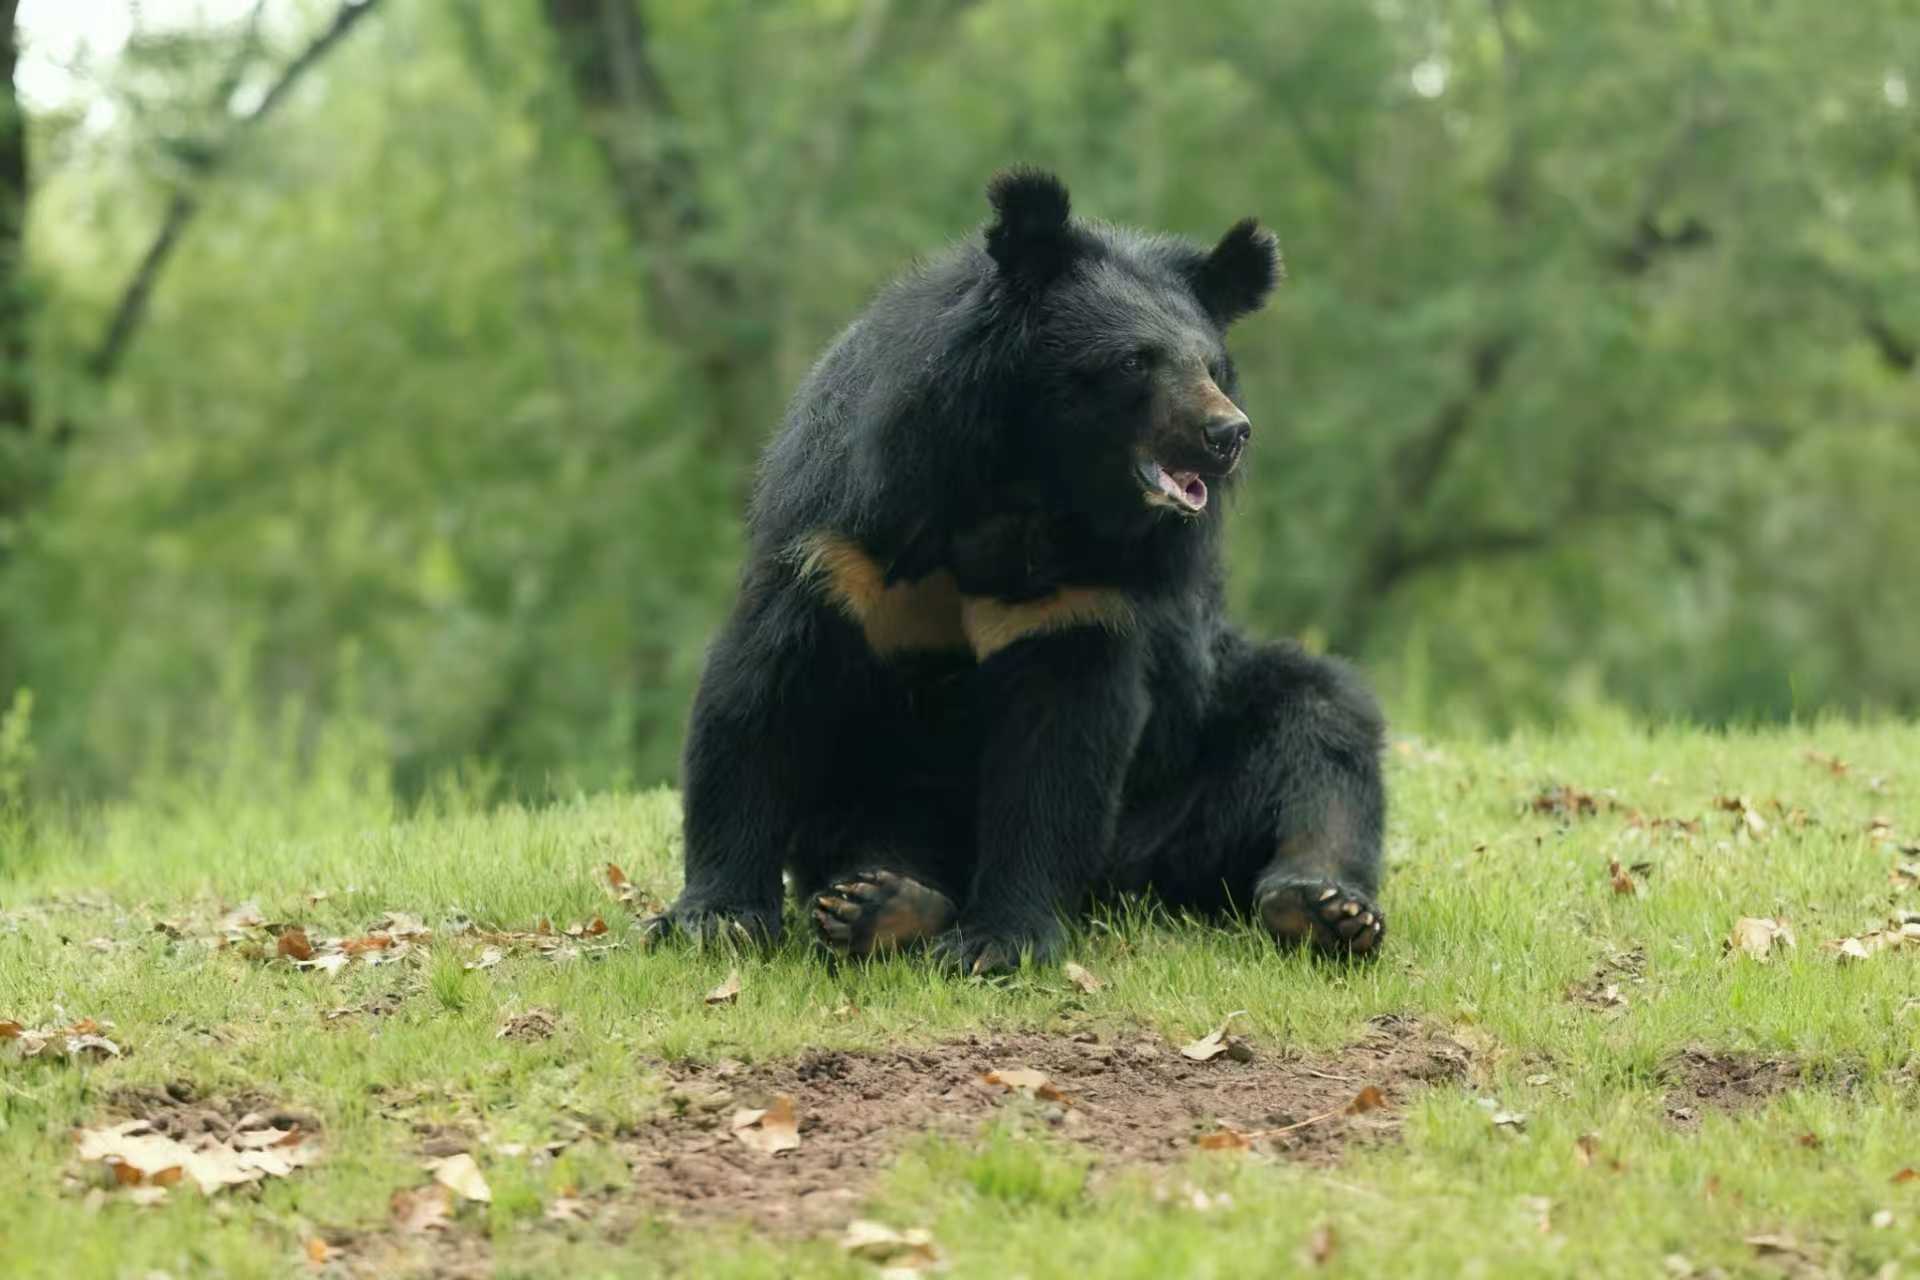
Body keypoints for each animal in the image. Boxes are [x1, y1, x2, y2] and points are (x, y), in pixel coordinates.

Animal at [645, 169, 1387, 975]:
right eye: (1137, 361)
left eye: (1215, 369)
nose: (1227, 434)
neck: (1029, 482)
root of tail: (1126, 880)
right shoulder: (840, 544)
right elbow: (764, 696)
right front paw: (714, 918)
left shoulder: (1082, 595)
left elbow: (1057, 747)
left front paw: (999, 942)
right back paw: (880, 901)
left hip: (1198, 741)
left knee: (1320, 730)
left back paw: (1323, 907)